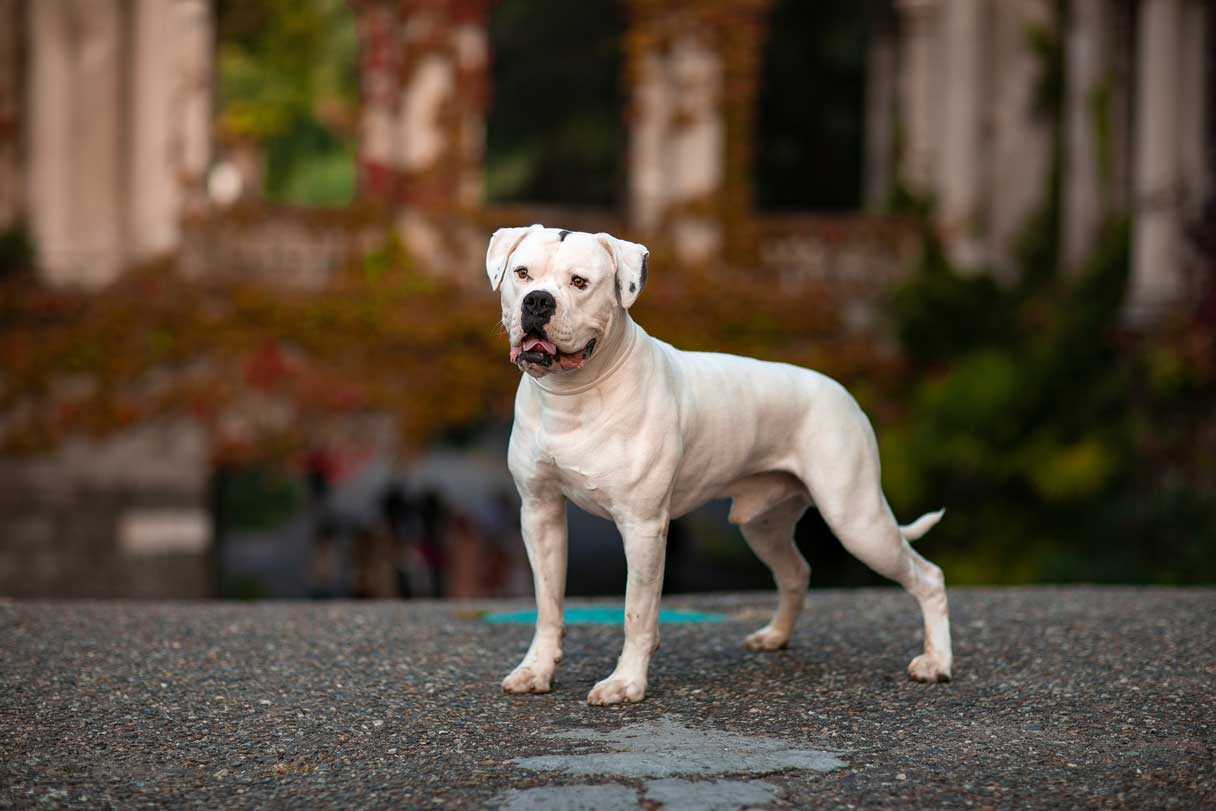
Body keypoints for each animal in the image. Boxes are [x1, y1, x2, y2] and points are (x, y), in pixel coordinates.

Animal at [483, 222, 948, 705]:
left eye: (579, 282)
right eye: (522, 273)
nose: (537, 301)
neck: (570, 397)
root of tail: (843, 393)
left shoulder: (642, 526)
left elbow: (636, 611)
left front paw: (626, 683)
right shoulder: (540, 515)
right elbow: (547, 604)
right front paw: (536, 670)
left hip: (857, 520)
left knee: (928, 576)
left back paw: (936, 663)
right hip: (764, 526)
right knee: (796, 572)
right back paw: (776, 636)